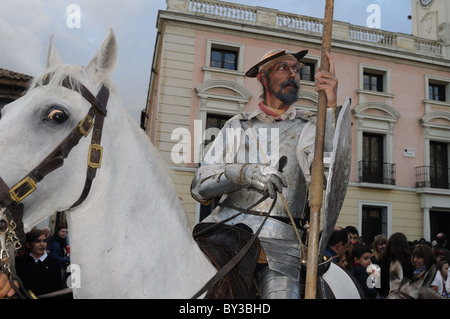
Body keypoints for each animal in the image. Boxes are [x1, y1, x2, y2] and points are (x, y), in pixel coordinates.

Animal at [0, 30, 362, 300]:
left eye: (56, 115)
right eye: (5, 111)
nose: (298, 75)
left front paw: (330, 92)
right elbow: (204, 178)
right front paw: (260, 176)